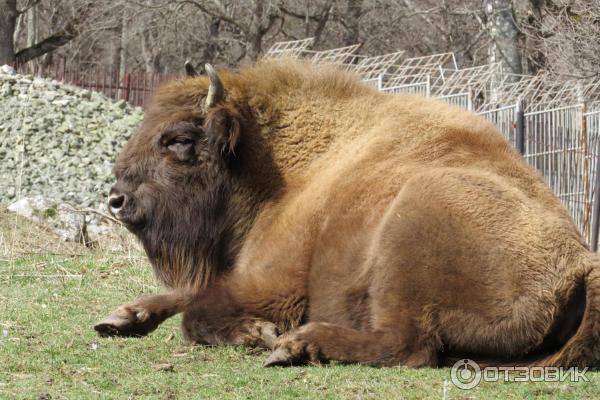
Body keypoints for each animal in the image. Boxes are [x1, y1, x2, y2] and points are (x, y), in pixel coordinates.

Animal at [94, 60, 600, 368]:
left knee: (408, 346)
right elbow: (191, 294)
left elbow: (198, 312)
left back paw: (298, 346)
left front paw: (260, 334)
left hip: (410, 225)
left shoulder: (273, 284)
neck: (277, 168)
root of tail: (580, 262)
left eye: (179, 140)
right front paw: (122, 317)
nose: (116, 200)